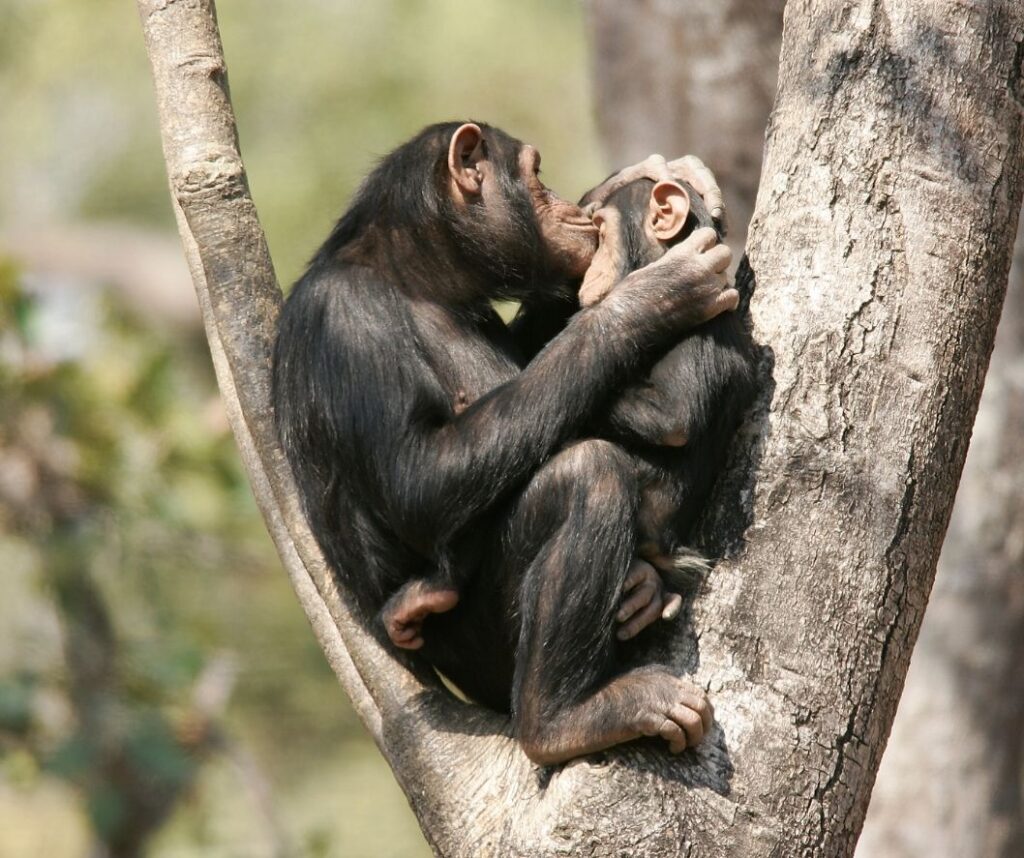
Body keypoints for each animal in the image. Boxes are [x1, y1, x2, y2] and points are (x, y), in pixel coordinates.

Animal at [272, 122, 737, 765]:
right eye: (537, 174)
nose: (572, 207)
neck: (417, 278)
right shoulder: (344, 322)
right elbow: (420, 479)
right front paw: (650, 301)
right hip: (482, 655)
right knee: (587, 473)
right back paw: (561, 715)